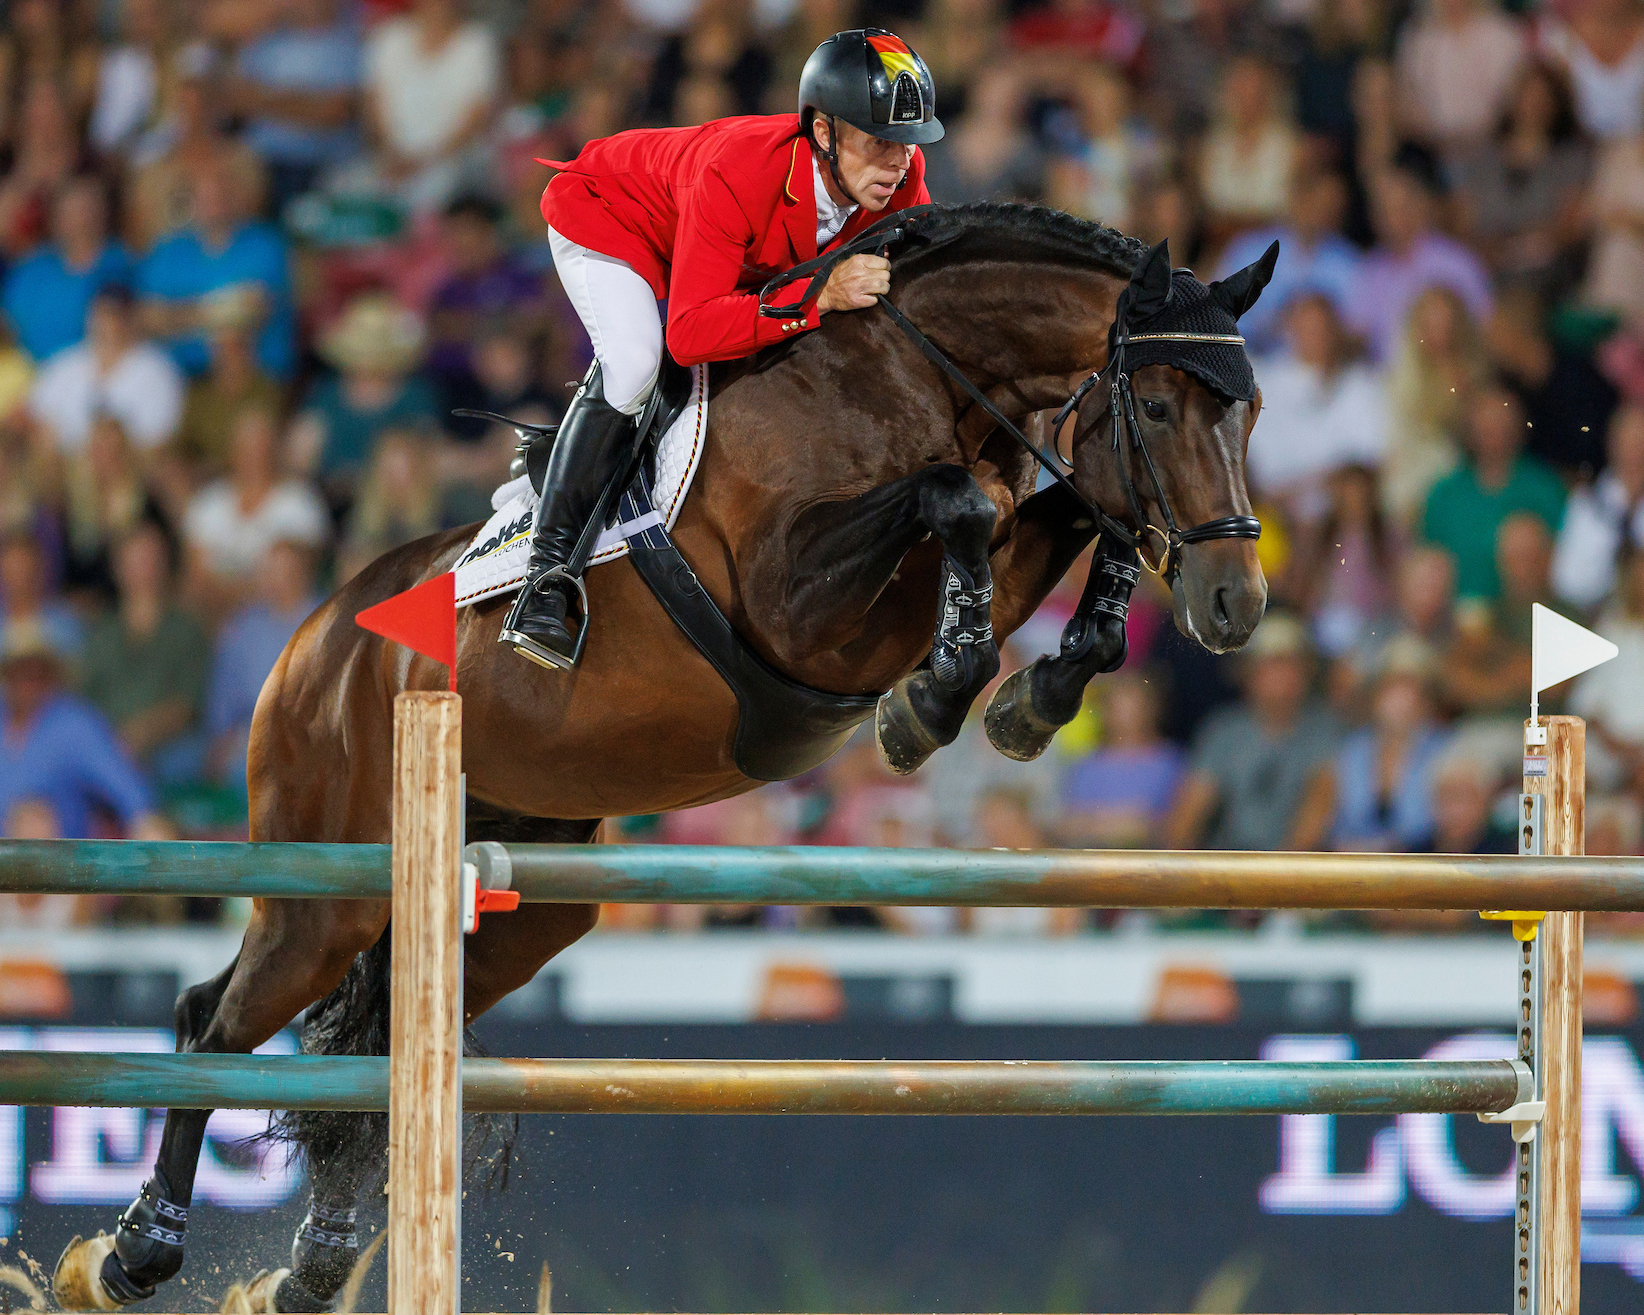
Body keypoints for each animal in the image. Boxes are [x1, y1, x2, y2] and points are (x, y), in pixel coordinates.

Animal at [54, 200, 1269, 1308]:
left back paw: (309, 1271)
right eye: (1159, 404)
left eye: (1251, 412)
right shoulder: (801, 608)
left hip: (521, 902)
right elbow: (960, 500)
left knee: (374, 1044)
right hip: (328, 888)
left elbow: (1075, 516)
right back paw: (130, 1255)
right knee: (211, 1019)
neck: (910, 375)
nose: (1235, 606)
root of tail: (313, 635)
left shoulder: (984, 554)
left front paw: (1034, 694)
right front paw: (931, 702)